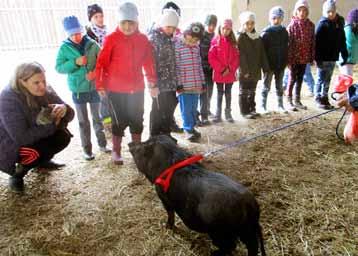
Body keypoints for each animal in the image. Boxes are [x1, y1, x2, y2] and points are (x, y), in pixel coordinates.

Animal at [129, 135, 266, 255]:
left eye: (144, 145)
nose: (130, 143)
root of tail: (250, 204)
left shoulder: (163, 197)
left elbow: (170, 213)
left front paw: (167, 227)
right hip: (247, 230)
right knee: (252, 246)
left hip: (221, 232)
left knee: (231, 246)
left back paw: (213, 252)